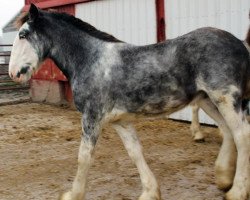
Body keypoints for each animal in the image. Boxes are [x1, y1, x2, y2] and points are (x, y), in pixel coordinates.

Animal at [7, 4, 250, 200]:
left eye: (23, 34)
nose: (13, 73)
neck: (91, 60)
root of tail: (241, 43)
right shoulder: (120, 121)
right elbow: (135, 152)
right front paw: (150, 192)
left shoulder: (91, 117)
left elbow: (84, 156)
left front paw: (73, 194)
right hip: (209, 100)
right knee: (228, 131)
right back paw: (223, 178)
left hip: (225, 99)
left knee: (241, 135)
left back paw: (237, 191)